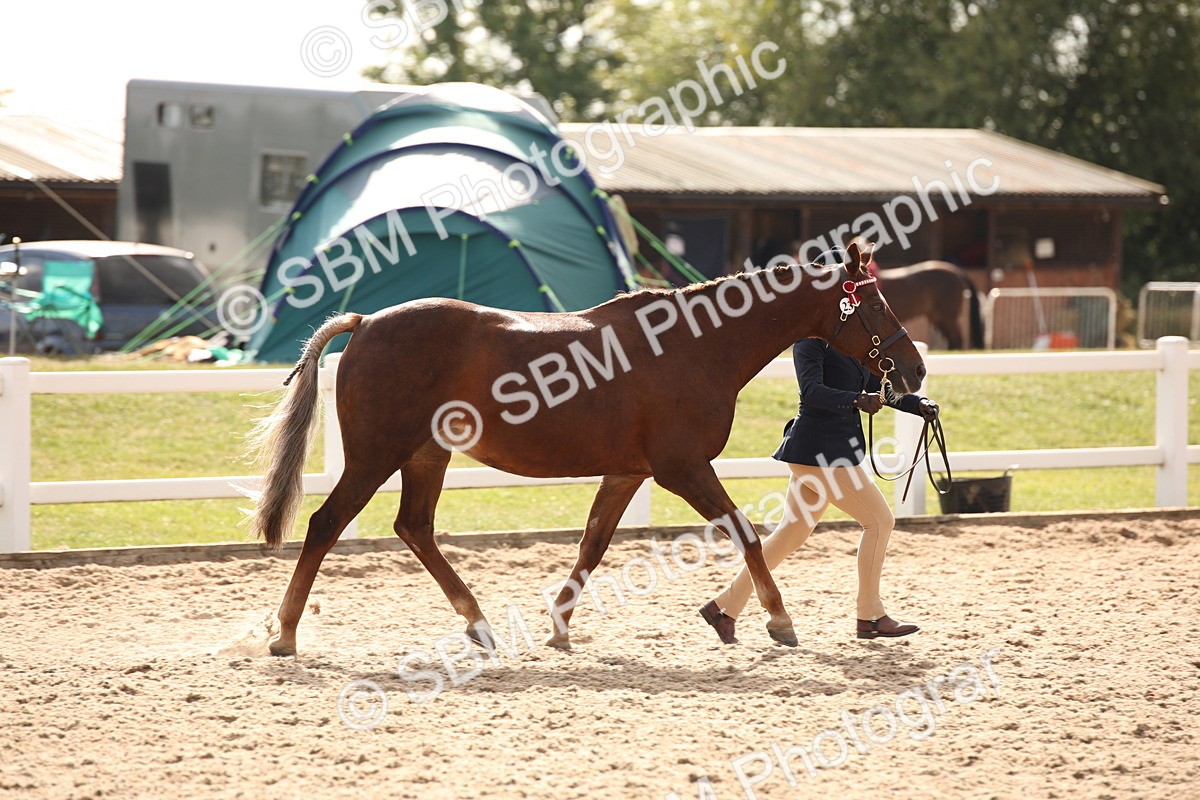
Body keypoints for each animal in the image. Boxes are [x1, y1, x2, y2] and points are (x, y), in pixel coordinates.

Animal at [246, 241, 925, 656]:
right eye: (871, 303)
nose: (915, 370)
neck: (696, 345)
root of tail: (364, 323)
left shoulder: (628, 475)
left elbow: (592, 547)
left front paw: (558, 627)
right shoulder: (682, 468)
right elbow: (745, 532)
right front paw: (778, 620)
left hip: (425, 457)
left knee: (414, 528)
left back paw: (479, 624)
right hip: (374, 457)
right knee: (326, 523)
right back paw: (285, 634)